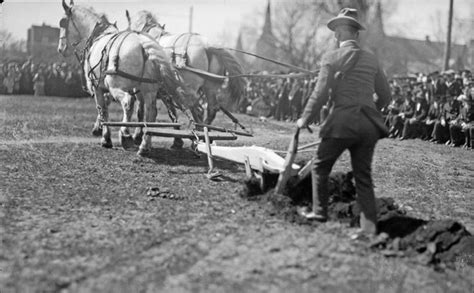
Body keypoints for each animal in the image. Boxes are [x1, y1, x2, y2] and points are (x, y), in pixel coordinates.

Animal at [57, 0, 194, 155]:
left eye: (62, 22)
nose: (61, 49)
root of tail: (143, 45)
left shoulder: (98, 87)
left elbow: (103, 109)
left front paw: (105, 138)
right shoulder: (134, 90)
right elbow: (137, 111)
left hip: (117, 86)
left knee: (128, 103)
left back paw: (126, 135)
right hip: (149, 89)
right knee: (152, 112)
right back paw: (145, 145)